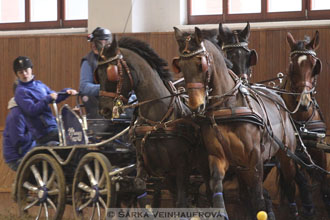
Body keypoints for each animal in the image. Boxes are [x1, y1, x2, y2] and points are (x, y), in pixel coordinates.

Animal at [94, 35, 210, 208]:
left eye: (112, 73)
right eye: (98, 74)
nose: (104, 110)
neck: (156, 121)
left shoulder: (182, 166)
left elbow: (181, 201)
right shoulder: (145, 162)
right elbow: (139, 187)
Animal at [174, 26, 300, 219]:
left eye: (201, 64)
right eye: (180, 66)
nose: (196, 106)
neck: (227, 105)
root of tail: (279, 99)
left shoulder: (255, 158)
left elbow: (257, 197)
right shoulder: (218, 156)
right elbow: (217, 185)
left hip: (286, 156)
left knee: (290, 186)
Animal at [282, 31, 330, 217]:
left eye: (315, 65)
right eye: (292, 67)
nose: (304, 102)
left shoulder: (319, 150)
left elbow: (324, 184)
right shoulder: (290, 155)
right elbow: (296, 183)